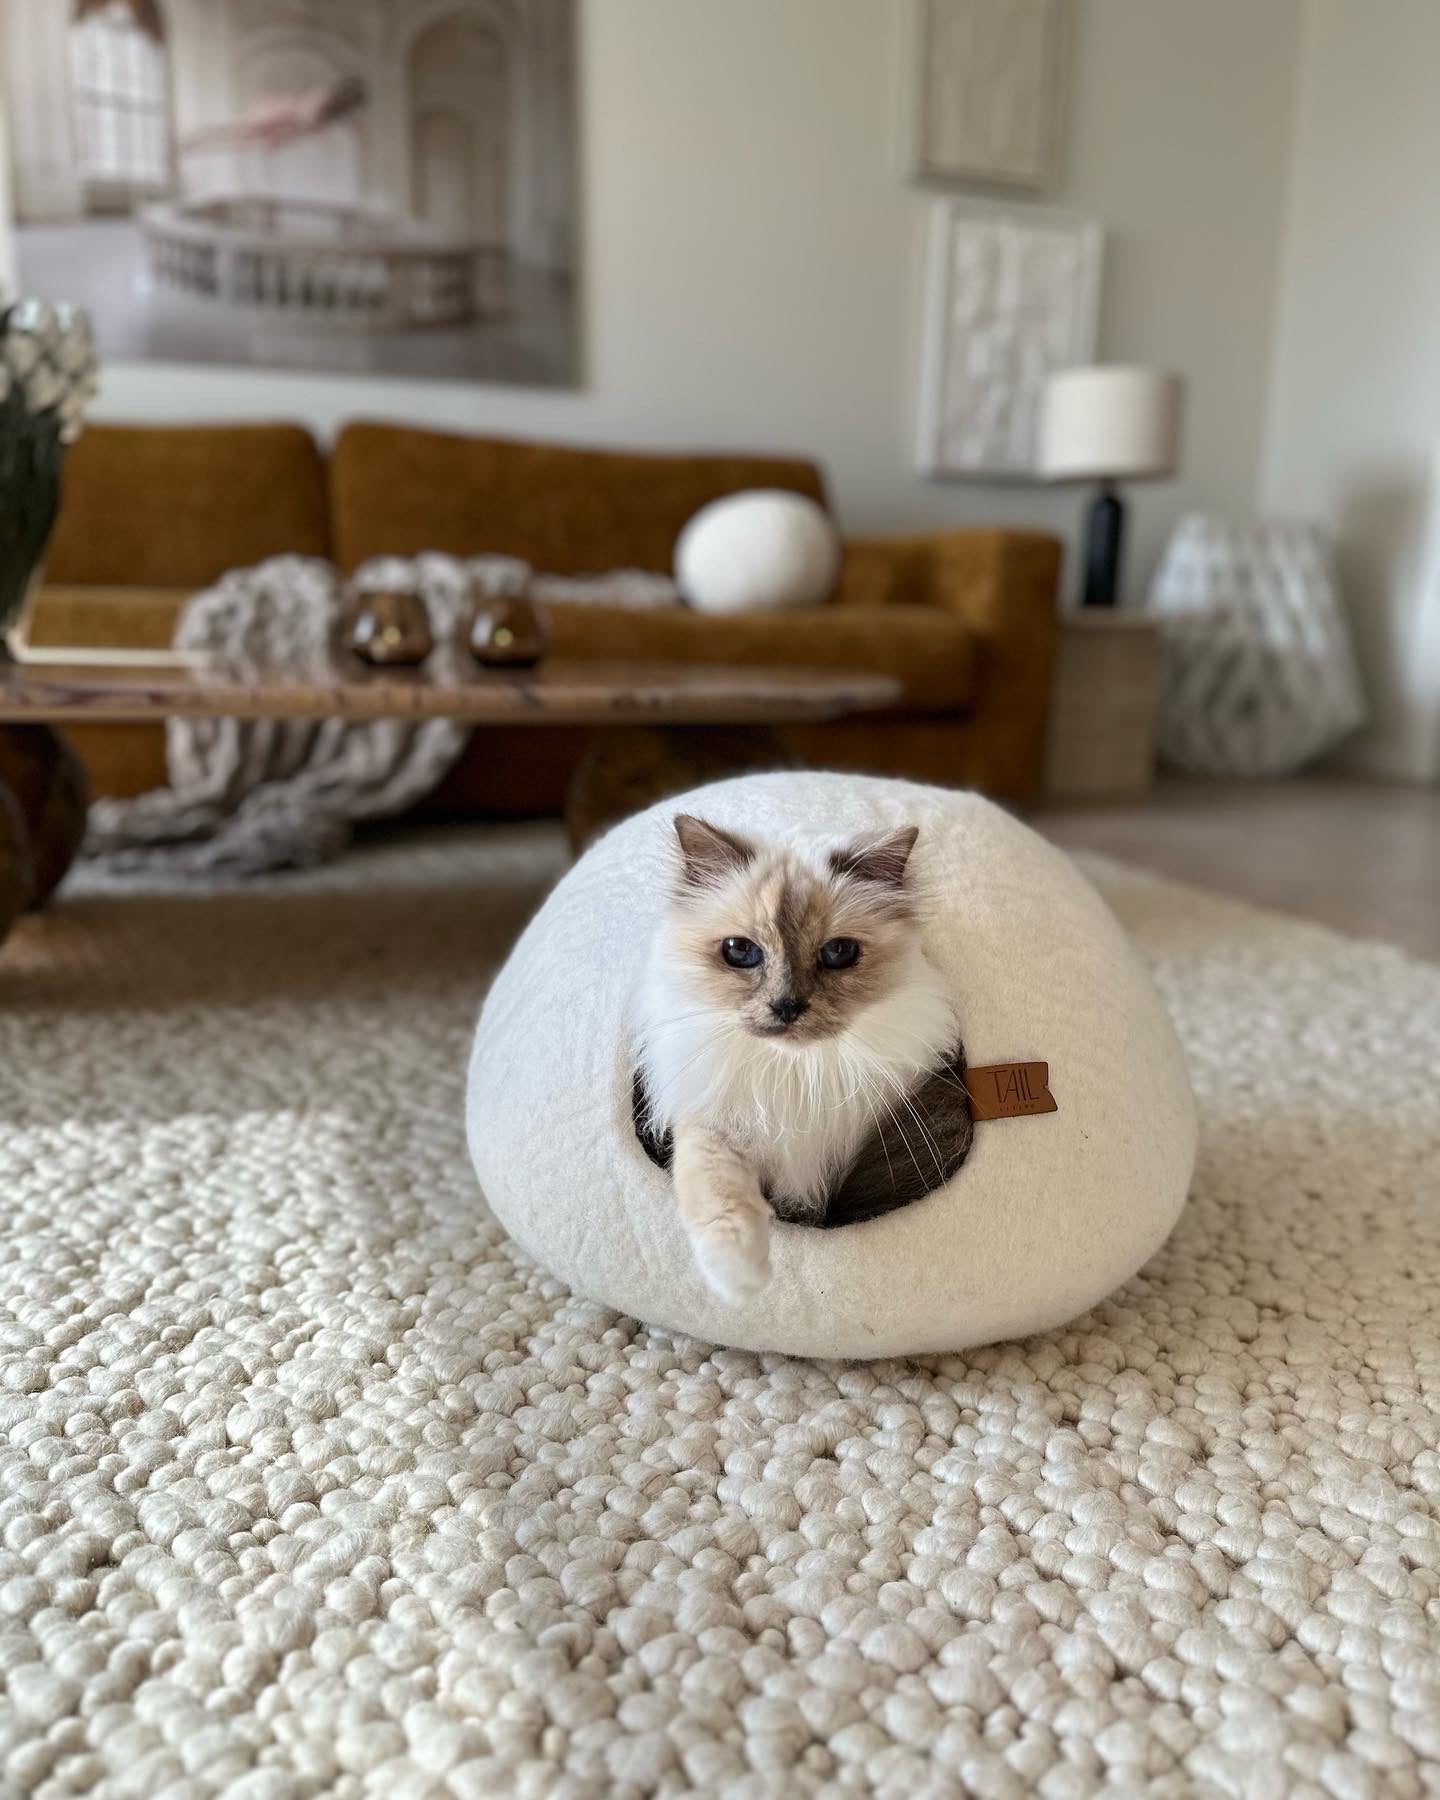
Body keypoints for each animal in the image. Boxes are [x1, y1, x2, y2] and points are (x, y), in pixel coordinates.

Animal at [633, 810, 964, 1303]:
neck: (798, 1075)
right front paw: (741, 1281)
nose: (787, 1007)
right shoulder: (713, 1121)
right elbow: (716, 1192)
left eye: (839, 952)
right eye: (740, 951)